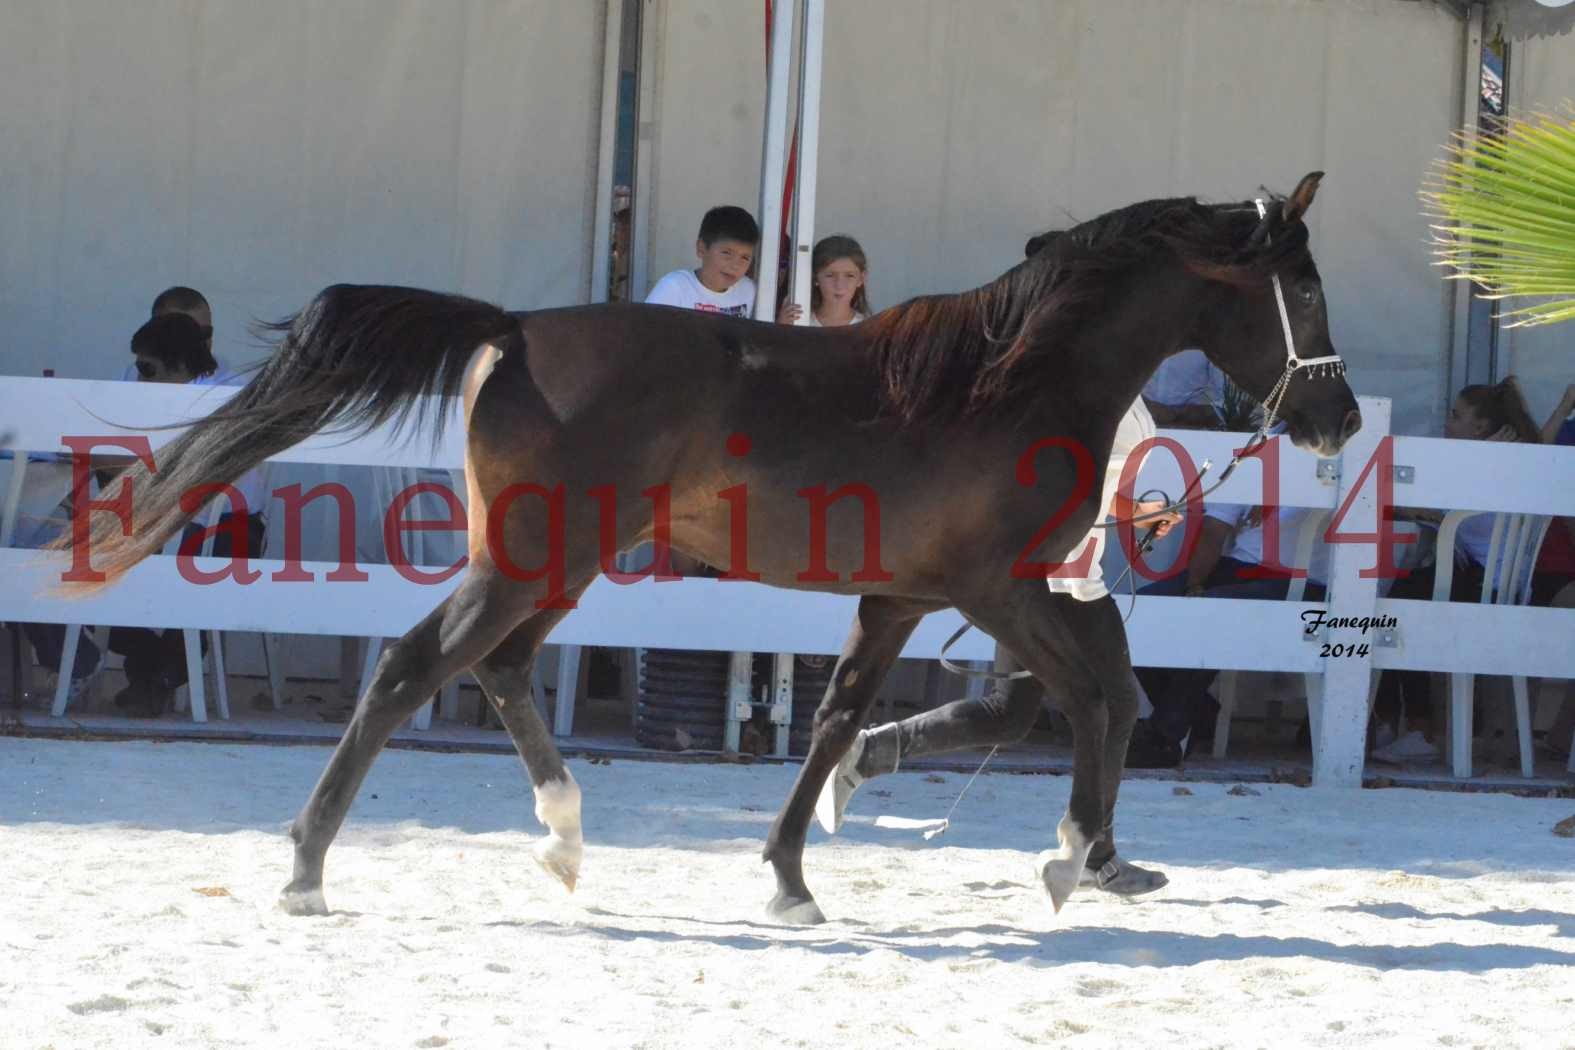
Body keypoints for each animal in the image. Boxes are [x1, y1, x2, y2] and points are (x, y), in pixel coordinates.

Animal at [70, 174, 1354, 925]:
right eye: (1301, 286)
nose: (1337, 418)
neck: (1009, 380)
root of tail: (513, 329)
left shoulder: (899, 596)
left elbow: (838, 717)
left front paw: (790, 876)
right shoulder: (995, 586)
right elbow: (1091, 697)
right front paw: (1070, 854)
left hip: (562, 563)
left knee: (496, 669)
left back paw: (565, 842)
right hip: (534, 559)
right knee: (410, 667)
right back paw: (306, 868)